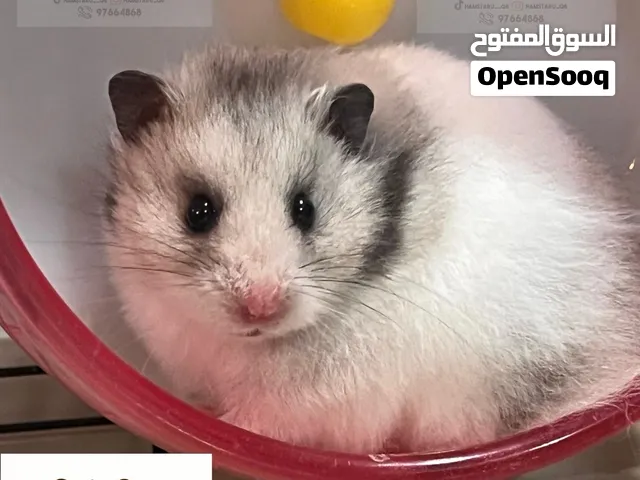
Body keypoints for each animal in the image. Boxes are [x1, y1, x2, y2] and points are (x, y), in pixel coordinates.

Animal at [102, 43, 640, 454]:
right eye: (198, 211)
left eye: (305, 208)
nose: (260, 308)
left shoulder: (317, 403)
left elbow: (257, 424)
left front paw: (227, 433)